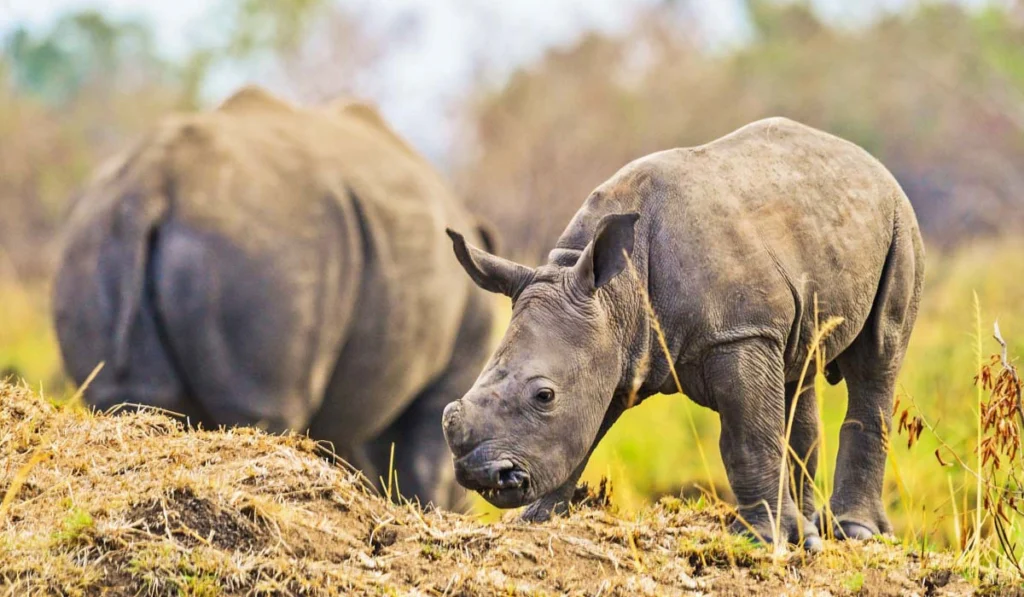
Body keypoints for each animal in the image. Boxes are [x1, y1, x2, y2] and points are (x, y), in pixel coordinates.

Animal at [53, 87, 497, 510]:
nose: (468, 503)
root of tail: (151, 184)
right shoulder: (454, 363)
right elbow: (423, 462)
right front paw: (429, 511)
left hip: (93, 237)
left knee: (132, 398)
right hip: (262, 248)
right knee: (264, 409)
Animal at [442, 117, 924, 550]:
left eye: (544, 395)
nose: (482, 475)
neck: (615, 292)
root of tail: (870, 162)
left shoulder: (738, 332)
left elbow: (748, 438)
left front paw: (767, 539)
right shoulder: (617, 346)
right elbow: (586, 433)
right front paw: (537, 518)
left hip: (901, 223)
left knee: (877, 355)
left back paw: (854, 533)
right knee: (798, 369)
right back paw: (810, 535)